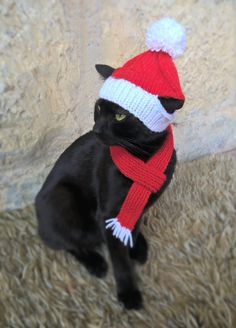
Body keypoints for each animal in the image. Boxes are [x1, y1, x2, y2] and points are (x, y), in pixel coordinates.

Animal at [34, 64, 184, 310]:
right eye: (97, 107)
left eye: (120, 115)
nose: (96, 129)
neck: (143, 158)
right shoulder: (108, 213)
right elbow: (119, 260)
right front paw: (128, 293)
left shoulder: (136, 207)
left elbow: (132, 226)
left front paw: (135, 246)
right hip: (62, 199)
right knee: (65, 242)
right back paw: (95, 262)